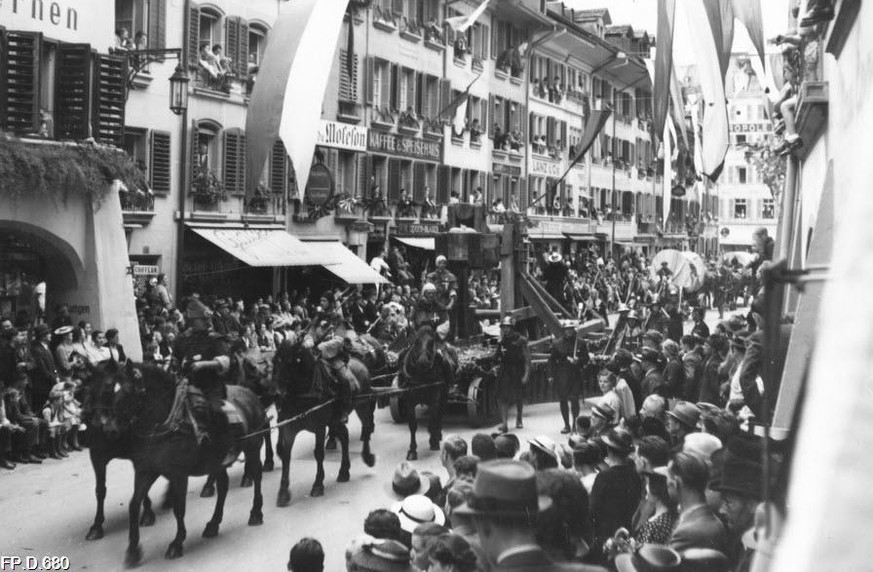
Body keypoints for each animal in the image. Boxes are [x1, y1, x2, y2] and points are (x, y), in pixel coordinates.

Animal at [82, 362, 158, 540]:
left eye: (109, 389)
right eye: (88, 390)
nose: (99, 424)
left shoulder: (141, 455)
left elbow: (143, 486)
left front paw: (147, 513)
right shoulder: (97, 456)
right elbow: (100, 490)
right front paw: (96, 526)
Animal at [109, 362, 268, 564]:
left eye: (128, 390)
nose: (110, 429)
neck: (168, 422)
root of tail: (250, 393)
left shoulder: (178, 475)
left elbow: (179, 509)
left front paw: (177, 543)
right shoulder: (146, 471)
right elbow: (133, 505)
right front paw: (133, 550)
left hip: (253, 448)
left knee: (257, 476)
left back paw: (256, 512)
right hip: (218, 462)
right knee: (223, 487)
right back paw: (213, 523)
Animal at [272, 340, 374, 504]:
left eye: (289, 362)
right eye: (274, 361)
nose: (276, 394)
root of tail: (361, 363)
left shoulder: (319, 426)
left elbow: (318, 453)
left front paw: (318, 484)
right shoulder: (289, 427)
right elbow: (286, 454)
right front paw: (283, 492)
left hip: (363, 406)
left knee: (366, 428)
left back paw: (367, 457)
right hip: (335, 419)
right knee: (344, 435)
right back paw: (344, 471)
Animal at [398, 326, 454, 460]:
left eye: (431, 342)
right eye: (416, 341)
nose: (423, 361)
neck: (421, 376)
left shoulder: (434, 400)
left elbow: (433, 420)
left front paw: (433, 441)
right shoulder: (409, 402)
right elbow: (413, 425)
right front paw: (412, 450)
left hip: (444, 396)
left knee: (440, 414)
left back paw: (437, 435)